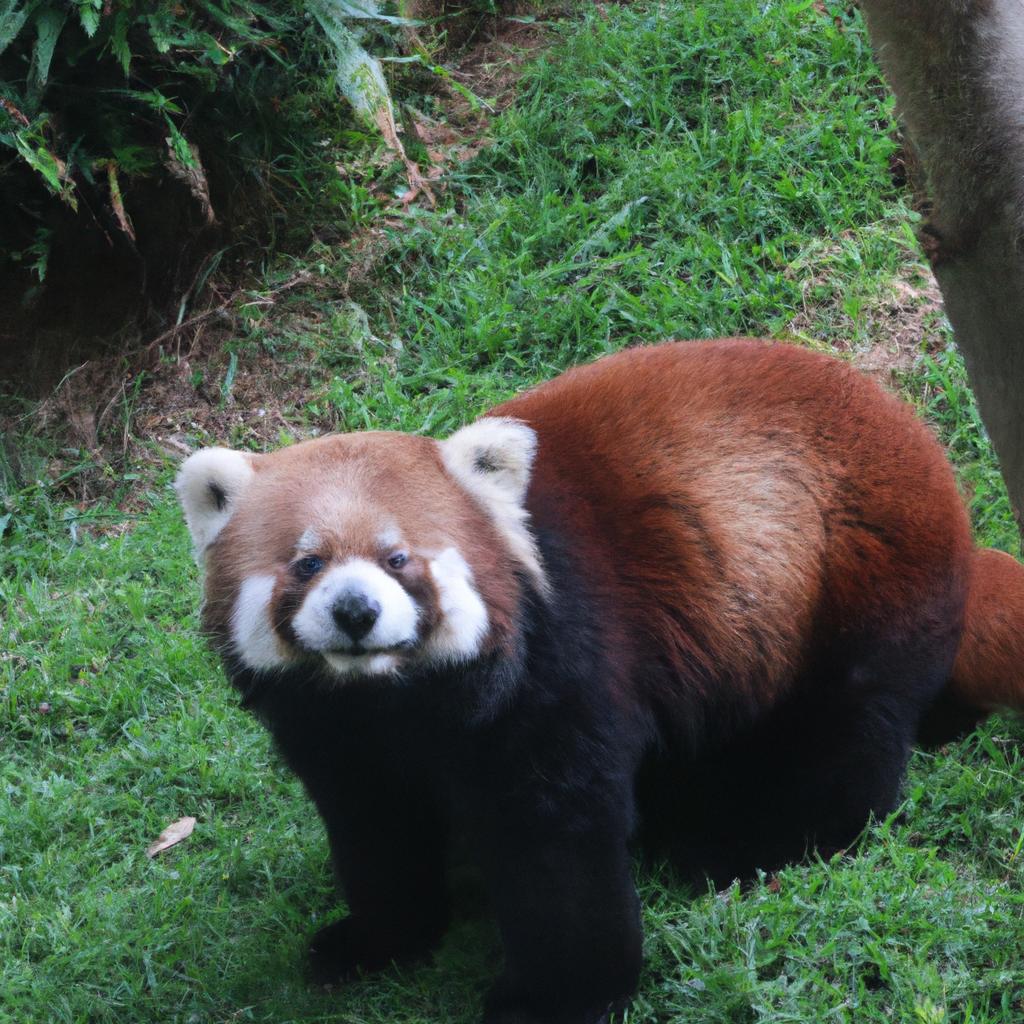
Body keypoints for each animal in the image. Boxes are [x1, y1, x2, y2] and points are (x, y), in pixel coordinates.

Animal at [176, 339, 1024, 1024]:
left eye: (398, 558)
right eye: (308, 563)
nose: (355, 612)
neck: (393, 699)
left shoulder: (557, 663)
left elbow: (555, 839)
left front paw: (554, 997)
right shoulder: (333, 734)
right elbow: (374, 827)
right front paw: (376, 942)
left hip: (854, 581)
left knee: (845, 741)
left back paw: (754, 845)